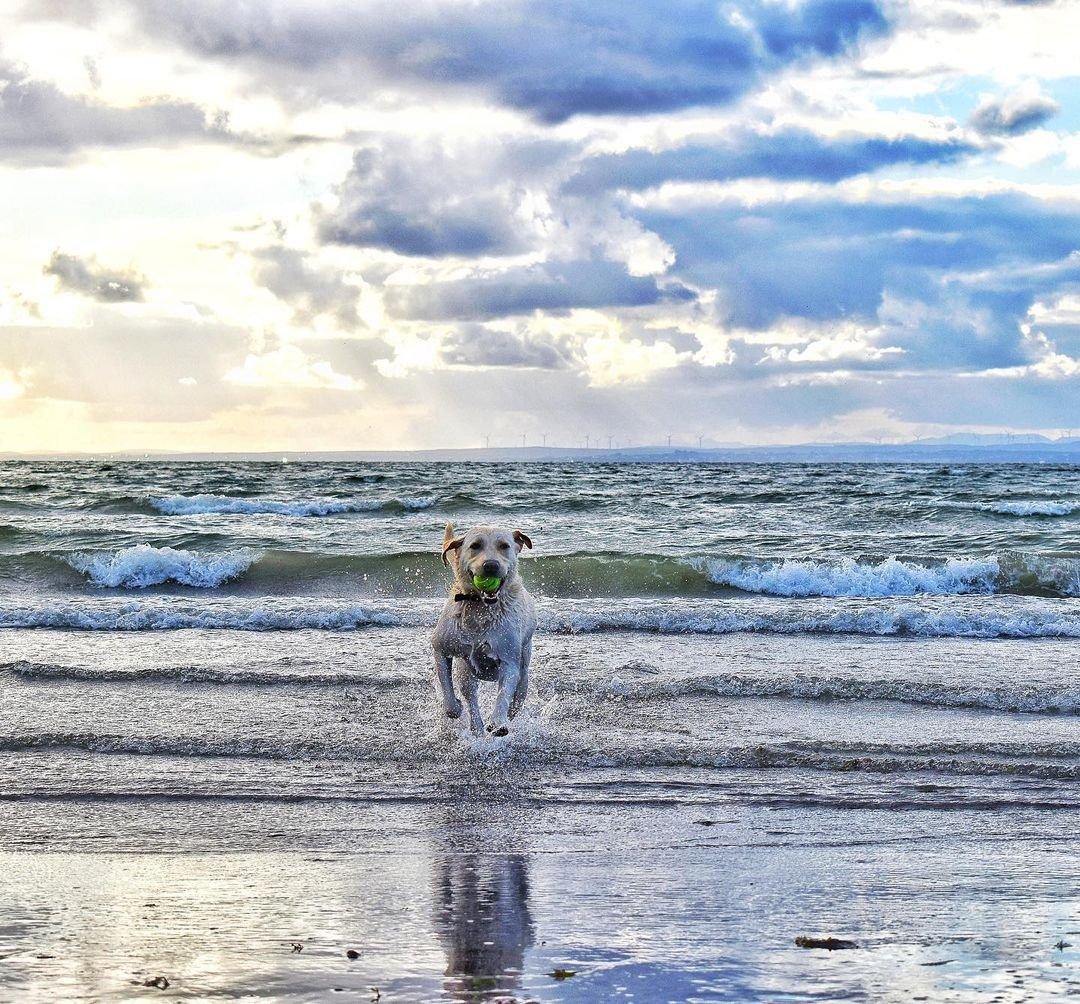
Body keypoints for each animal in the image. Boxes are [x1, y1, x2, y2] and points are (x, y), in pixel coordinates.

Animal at [427, 520, 533, 729]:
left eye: (504, 546)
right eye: (475, 545)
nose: (491, 565)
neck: (481, 608)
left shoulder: (509, 660)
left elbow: (503, 694)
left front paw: (498, 721)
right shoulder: (441, 647)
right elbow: (447, 690)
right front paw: (455, 707)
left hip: (524, 665)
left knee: (518, 694)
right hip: (465, 673)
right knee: (471, 698)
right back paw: (476, 727)